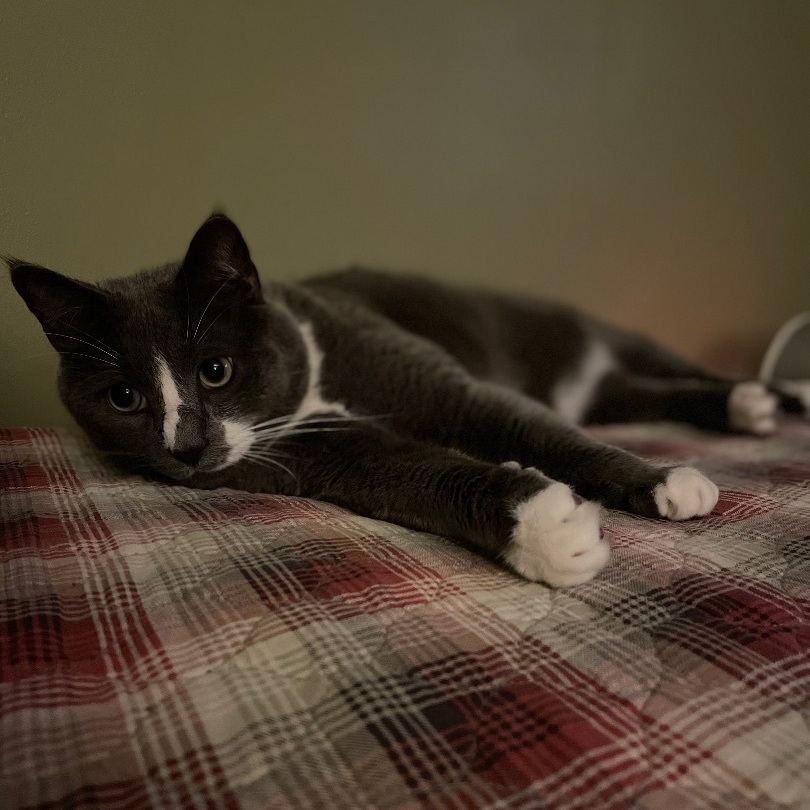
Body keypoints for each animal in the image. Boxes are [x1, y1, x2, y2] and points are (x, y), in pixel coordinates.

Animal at [9, 211, 804, 584]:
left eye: (215, 371)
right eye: (124, 397)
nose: (187, 448)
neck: (317, 387)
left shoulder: (432, 382)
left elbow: (530, 428)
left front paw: (664, 479)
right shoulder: (326, 454)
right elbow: (414, 474)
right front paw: (548, 530)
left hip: (618, 335)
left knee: (667, 373)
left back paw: (767, 399)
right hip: (612, 388)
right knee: (640, 393)